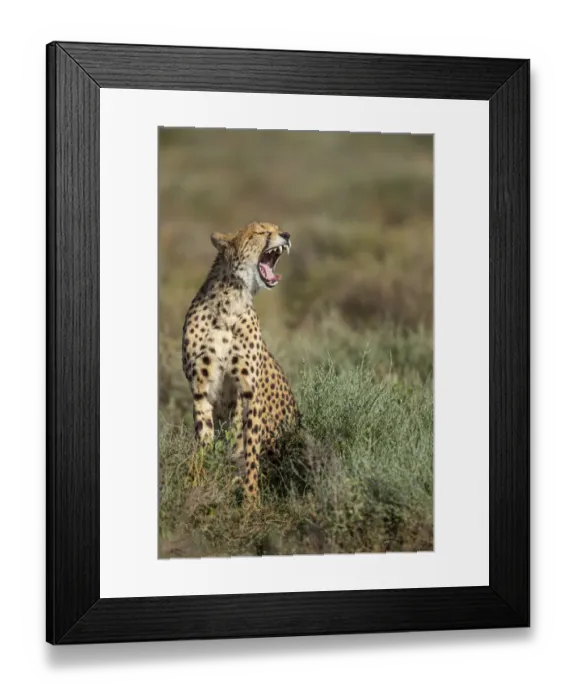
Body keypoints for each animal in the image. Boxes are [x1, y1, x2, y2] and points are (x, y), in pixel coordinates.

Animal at [182, 221, 299, 502]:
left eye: (277, 228)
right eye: (260, 232)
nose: (287, 234)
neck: (230, 302)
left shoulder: (249, 390)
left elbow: (250, 449)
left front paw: (250, 499)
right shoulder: (200, 388)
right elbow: (204, 437)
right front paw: (198, 479)